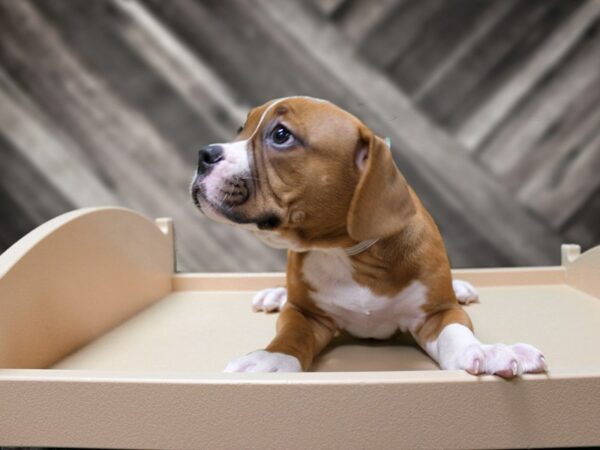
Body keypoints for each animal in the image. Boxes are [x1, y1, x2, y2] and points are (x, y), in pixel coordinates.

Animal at [190, 96, 548, 378]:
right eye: (241, 128)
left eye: (280, 135)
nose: (204, 154)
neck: (347, 252)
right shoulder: (306, 314)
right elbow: (292, 335)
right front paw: (270, 359)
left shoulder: (437, 313)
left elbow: (456, 333)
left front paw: (485, 353)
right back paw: (276, 294)